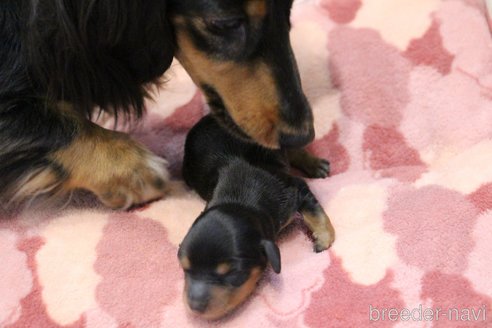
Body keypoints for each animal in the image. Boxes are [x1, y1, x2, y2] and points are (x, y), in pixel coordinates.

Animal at [178, 116, 334, 320]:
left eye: (233, 273)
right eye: (184, 268)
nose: (194, 307)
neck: (240, 199)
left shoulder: (294, 188)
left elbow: (314, 211)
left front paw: (323, 238)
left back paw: (315, 164)